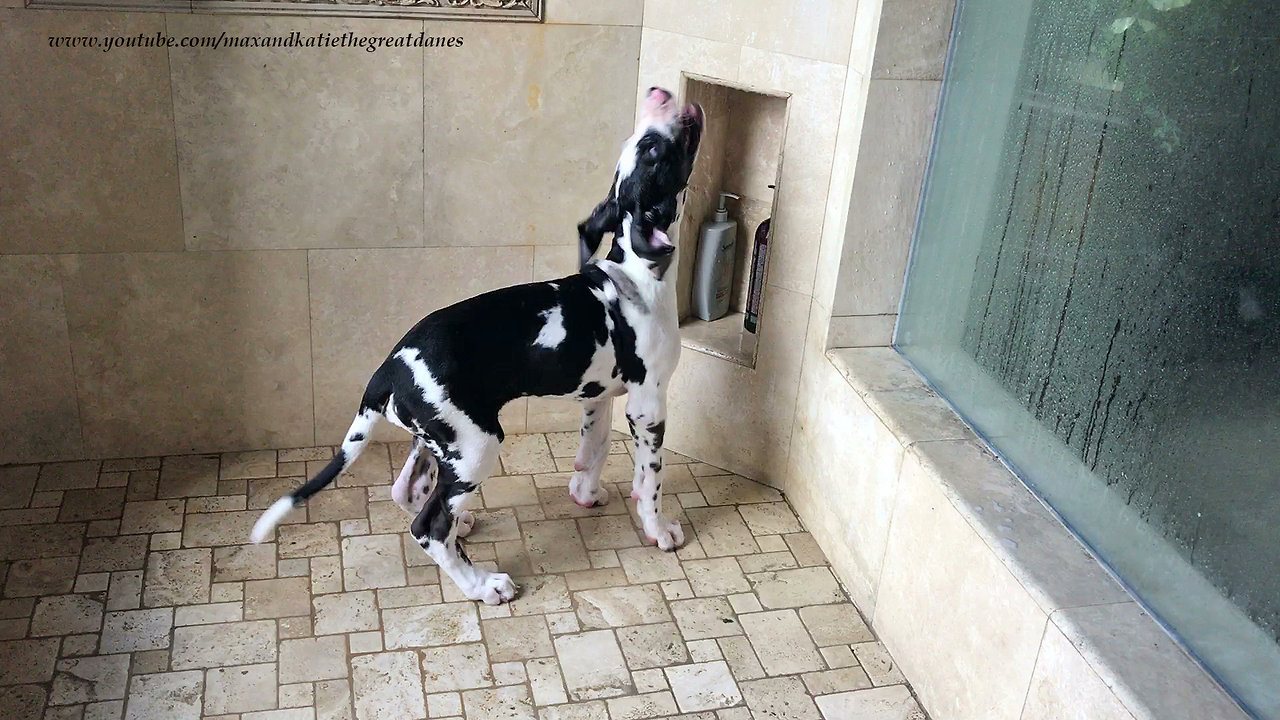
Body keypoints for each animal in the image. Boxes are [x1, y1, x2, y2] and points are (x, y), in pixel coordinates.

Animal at [250, 87, 706, 602]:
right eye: (652, 149)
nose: (659, 93)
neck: (635, 272)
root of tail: (387, 370)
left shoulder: (599, 398)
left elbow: (594, 450)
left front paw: (585, 495)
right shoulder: (648, 406)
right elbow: (650, 479)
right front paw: (658, 529)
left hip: (439, 440)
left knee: (409, 493)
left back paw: (463, 525)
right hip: (477, 445)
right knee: (428, 527)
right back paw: (484, 584)